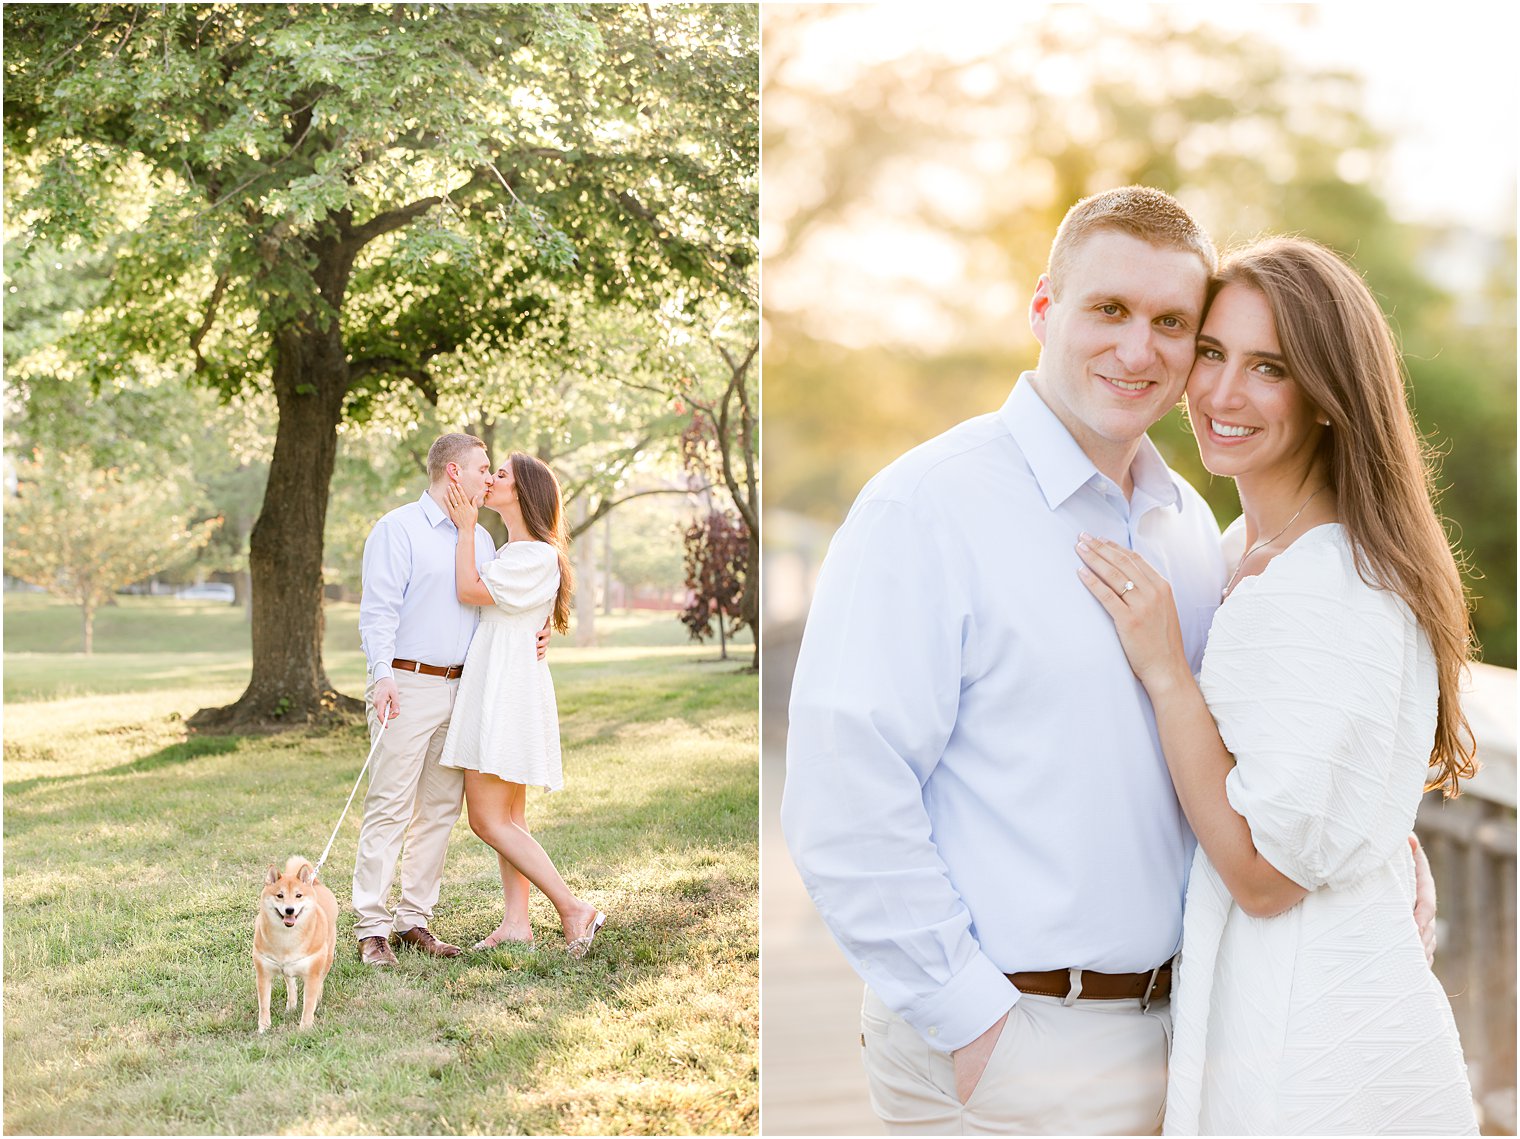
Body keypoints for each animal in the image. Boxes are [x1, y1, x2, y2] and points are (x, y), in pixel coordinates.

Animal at [253, 851, 337, 1027]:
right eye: (280, 895)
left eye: (298, 895)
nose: (289, 910)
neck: (287, 940)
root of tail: (315, 882)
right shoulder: (263, 973)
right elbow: (264, 1005)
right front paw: (264, 1027)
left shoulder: (312, 974)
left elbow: (309, 1004)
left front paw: (305, 1028)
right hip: (287, 969)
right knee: (291, 984)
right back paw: (291, 1006)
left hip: (327, 957)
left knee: (320, 981)